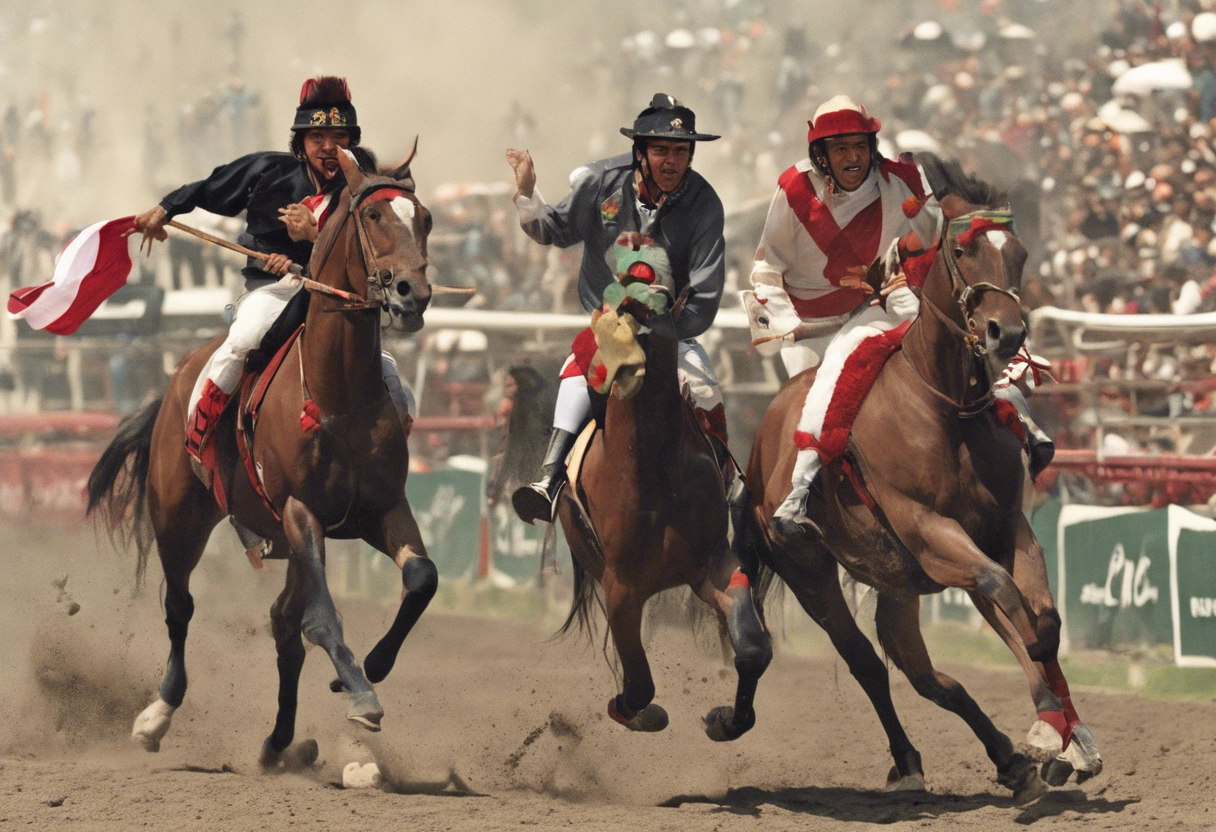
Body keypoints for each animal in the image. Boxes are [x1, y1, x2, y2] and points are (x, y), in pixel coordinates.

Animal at [86, 144, 437, 768]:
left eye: (426, 220)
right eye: (374, 216)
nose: (410, 294)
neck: (336, 394)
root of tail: (176, 377)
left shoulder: (380, 507)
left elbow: (421, 577)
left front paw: (367, 668)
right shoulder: (301, 511)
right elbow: (322, 616)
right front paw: (361, 693)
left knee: (280, 624)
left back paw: (278, 741)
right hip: (178, 517)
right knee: (181, 606)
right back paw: (158, 714)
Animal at [547, 246, 773, 739]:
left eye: (661, 301)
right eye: (616, 302)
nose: (619, 363)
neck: (651, 465)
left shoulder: (712, 563)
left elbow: (752, 648)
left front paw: (726, 719)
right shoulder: (621, 583)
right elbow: (639, 683)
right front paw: (637, 712)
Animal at [739, 154, 1104, 797]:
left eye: (1020, 253)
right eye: (962, 249)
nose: (1007, 333)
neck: (944, 410)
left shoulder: (1005, 528)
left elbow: (1042, 618)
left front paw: (1063, 741)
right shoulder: (932, 533)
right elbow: (1006, 598)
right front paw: (1045, 729)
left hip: (895, 582)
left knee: (925, 673)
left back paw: (1007, 758)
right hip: (810, 571)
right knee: (867, 663)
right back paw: (908, 759)